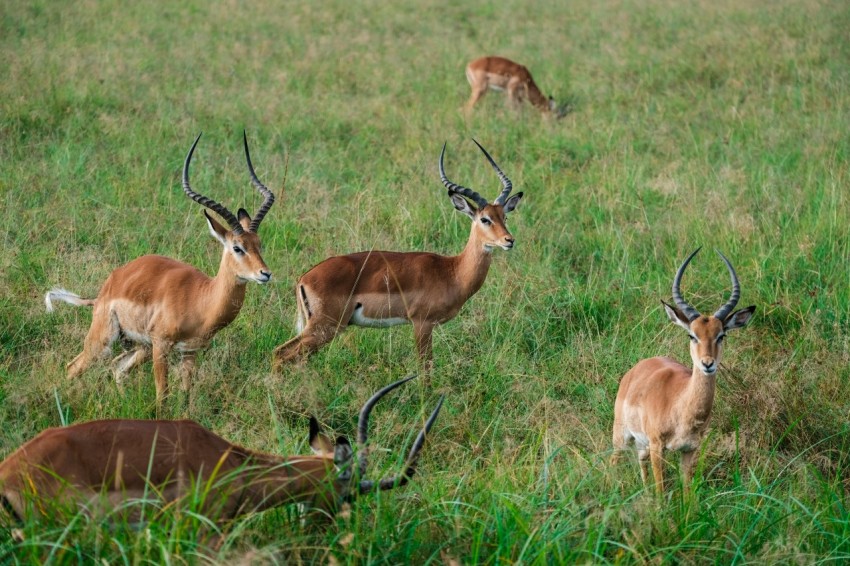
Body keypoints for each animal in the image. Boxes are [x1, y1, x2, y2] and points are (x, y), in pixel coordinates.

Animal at [44, 132, 276, 407]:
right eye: (237, 247)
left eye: (259, 244)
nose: (265, 274)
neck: (201, 298)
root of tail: (109, 285)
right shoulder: (162, 345)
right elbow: (162, 395)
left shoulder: (190, 352)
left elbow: (185, 396)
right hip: (105, 339)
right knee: (73, 367)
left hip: (139, 346)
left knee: (117, 368)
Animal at [272, 140, 523, 371]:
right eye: (485, 219)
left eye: (504, 217)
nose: (509, 240)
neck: (452, 271)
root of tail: (304, 278)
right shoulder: (422, 324)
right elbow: (425, 368)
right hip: (325, 327)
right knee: (280, 353)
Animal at [611, 248, 756, 494]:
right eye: (692, 335)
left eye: (721, 335)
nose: (707, 363)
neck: (680, 406)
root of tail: (637, 368)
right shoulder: (658, 446)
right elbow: (661, 492)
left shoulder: (689, 450)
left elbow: (687, 492)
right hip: (622, 436)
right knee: (612, 461)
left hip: (642, 445)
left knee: (641, 464)